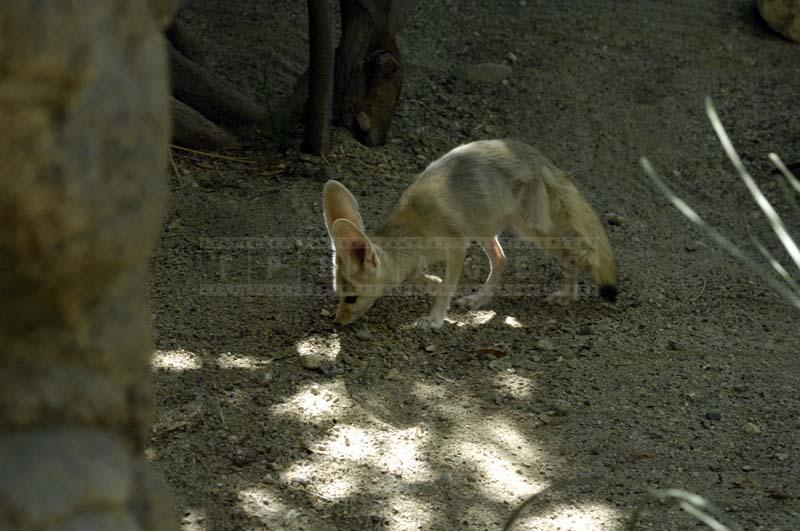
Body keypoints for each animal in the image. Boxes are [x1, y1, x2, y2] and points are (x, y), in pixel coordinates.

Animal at [322, 138, 616, 328]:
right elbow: (421, 277)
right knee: (501, 259)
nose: (338, 322)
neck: (413, 225)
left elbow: (447, 287)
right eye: (338, 296)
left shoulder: (457, 247)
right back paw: (480, 298)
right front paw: (432, 282)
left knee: (574, 254)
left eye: (351, 298)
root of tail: (537, 157)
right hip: (485, 229)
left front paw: (435, 318)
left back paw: (567, 295)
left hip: (533, 230)